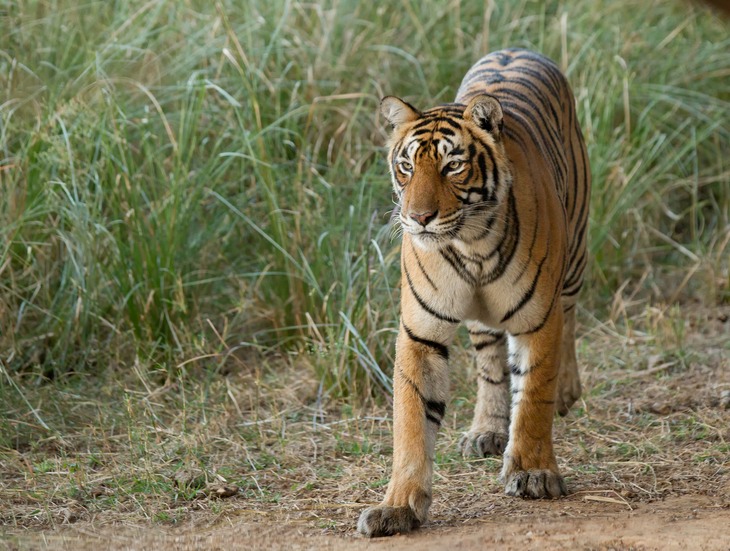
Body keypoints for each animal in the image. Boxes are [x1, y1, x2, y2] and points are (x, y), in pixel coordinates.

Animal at [356, 48, 588, 540]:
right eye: (407, 167)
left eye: (453, 166)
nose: (418, 218)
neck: (472, 246)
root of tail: (517, 47)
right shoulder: (420, 333)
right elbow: (412, 422)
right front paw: (397, 507)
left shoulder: (539, 319)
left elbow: (533, 396)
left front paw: (533, 473)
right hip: (485, 321)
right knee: (491, 363)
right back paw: (487, 429)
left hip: (575, 254)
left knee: (571, 318)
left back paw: (566, 391)